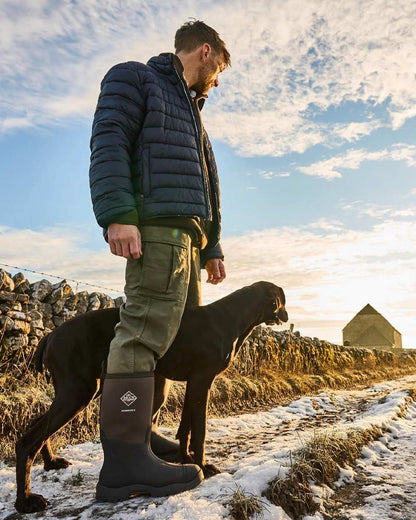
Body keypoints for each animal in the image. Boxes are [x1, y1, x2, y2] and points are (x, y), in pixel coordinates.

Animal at [15, 280, 286, 512]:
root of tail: (50, 335)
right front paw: (203, 466)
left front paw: (185, 459)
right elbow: (200, 432)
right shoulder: (202, 381)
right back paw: (26, 500)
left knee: (40, 428)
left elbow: (185, 429)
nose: (286, 315)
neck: (231, 317)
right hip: (78, 391)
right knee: (28, 439)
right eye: (282, 300)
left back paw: (51, 462)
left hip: (78, 390)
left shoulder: (193, 384)